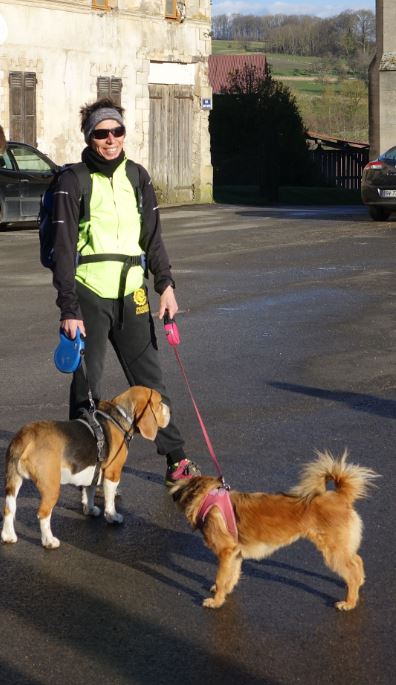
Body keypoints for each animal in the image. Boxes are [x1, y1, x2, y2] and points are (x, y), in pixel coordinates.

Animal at [169, 452, 378, 608]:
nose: (172, 496)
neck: (207, 498)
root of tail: (340, 496)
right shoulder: (235, 553)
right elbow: (231, 575)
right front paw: (225, 591)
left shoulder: (226, 552)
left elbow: (221, 578)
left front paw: (216, 601)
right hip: (341, 548)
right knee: (357, 561)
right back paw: (359, 583)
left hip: (333, 551)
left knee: (352, 569)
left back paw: (349, 602)